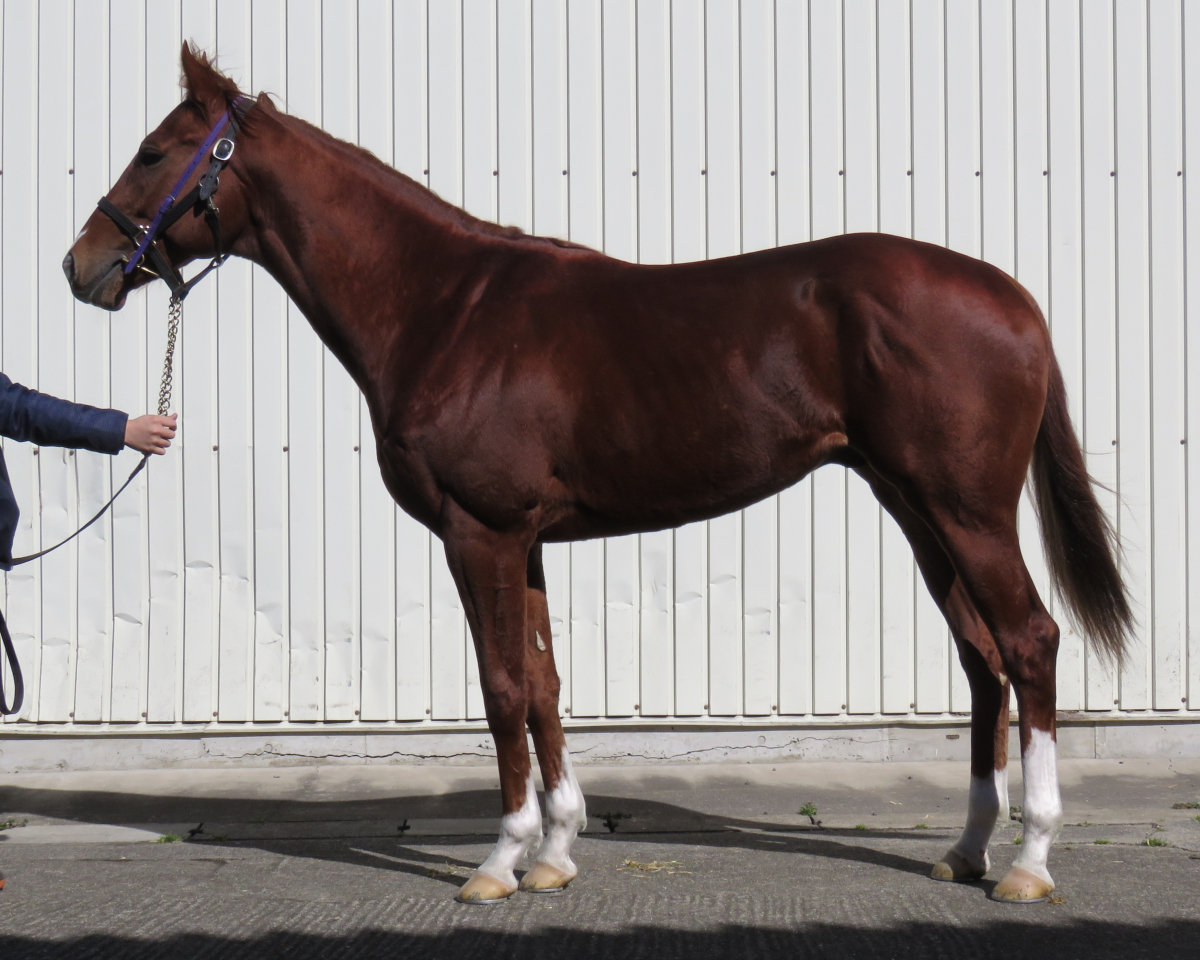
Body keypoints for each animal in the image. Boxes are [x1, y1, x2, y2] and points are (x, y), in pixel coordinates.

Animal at [64, 46, 1131, 905]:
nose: (82, 266)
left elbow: (501, 688)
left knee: (1030, 643)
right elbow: (544, 683)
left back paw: (1030, 862)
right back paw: (966, 850)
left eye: (154, 152)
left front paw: (499, 864)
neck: (442, 307)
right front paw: (555, 852)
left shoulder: (480, 532)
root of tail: (1014, 299)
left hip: (967, 511)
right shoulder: (525, 539)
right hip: (916, 509)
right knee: (982, 660)